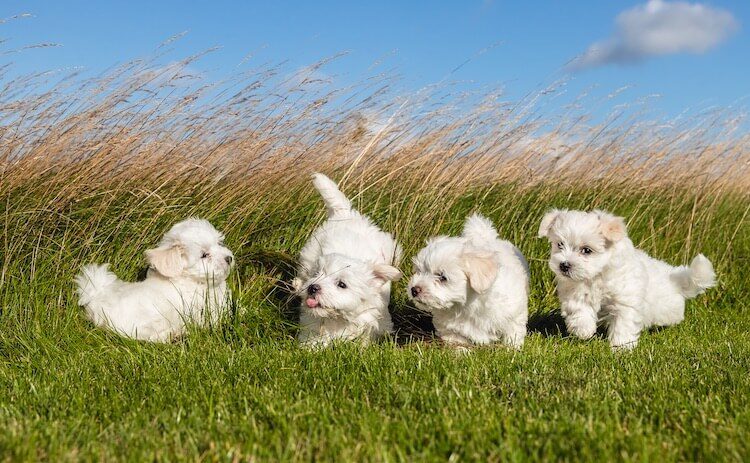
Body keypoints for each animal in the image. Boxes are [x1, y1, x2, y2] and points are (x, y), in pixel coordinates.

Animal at [74, 219, 232, 342]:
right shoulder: (201, 311)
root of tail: (96, 298)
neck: (191, 279)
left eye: (219, 243)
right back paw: (175, 334)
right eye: (204, 255)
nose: (229, 258)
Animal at [292, 174, 402, 348]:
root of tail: (345, 213)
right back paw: (297, 284)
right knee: (303, 272)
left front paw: (362, 347)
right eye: (318, 274)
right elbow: (314, 333)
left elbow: (366, 336)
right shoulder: (314, 319)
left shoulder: (373, 317)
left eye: (342, 284)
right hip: (309, 254)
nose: (312, 287)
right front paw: (309, 348)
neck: (339, 317)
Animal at [408, 216, 532, 350]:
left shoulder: (514, 313)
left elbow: (513, 333)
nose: (414, 290)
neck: (466, 305)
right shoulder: (451, 329)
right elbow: (458, 341)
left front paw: (512, 349)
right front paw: (461, 352)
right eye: (419, 271)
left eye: (442, 277)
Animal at [540, 210, 716, 352]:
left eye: (586, 250)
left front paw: (621, 348)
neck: (598, 275)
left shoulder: (625, 302)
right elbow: (579, 309)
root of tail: (674, 277)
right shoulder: (576, 292)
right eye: (560, 244)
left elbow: (623, 324)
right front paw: (583, 330)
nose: (564, 265)